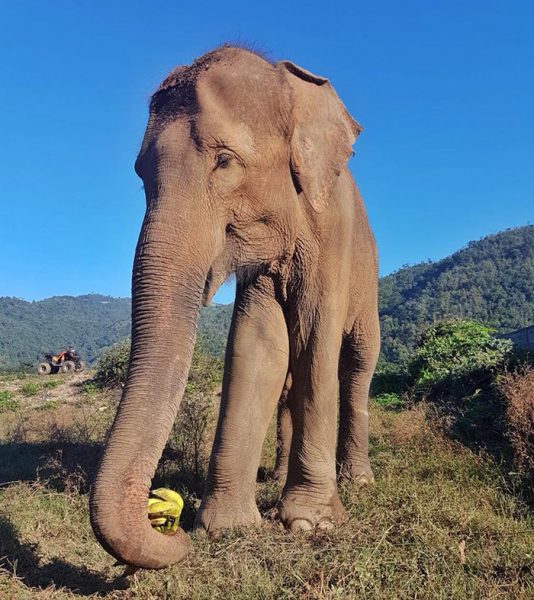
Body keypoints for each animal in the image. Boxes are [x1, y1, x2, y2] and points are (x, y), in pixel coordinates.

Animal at [91, 44, 382, 568]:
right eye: (141, 175)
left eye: (224, 162)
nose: (168, 526)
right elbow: (259, 346)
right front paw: (226, 528)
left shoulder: (332, 231)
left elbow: (314, 340)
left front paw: (309, 523)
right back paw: (277, 477)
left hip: (368, 280)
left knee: (357, 364)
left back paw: (357, 480)